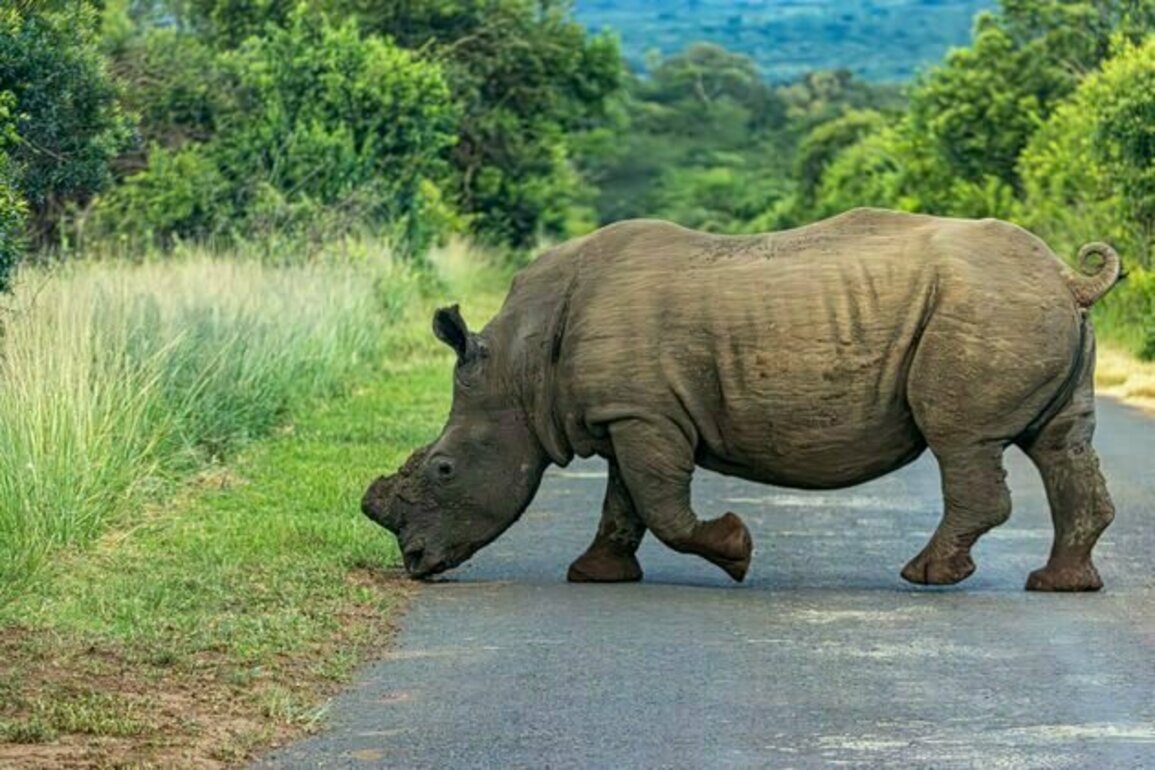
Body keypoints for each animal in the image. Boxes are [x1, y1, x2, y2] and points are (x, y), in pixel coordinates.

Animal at [362, 209, 1122, 592]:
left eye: (443, 470)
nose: (415, 564)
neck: (519, 370)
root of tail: (1066, 276)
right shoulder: (627, 413)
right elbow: (623, 502)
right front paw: (595, 576)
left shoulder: (643, 415)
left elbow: (661, 505)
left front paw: (736, 552)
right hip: (1018, 305)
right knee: (1061, 443)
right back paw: (1059, 586)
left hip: (986, 306)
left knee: (960, 439)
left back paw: (927, 577)